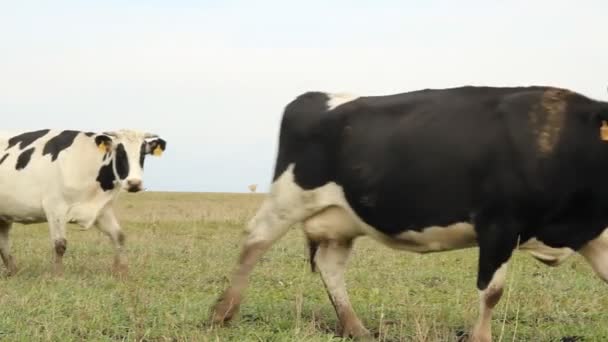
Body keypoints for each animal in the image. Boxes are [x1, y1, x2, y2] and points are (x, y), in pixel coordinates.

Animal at [0, 130, 165, 276]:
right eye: (119, 152)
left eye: (143, 154)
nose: (134, 183)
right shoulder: (55, 207)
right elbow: (59, 244)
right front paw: (58, 275)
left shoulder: (102, 210)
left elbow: (119, 237)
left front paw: (123, 272)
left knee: (4, 244)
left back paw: (13, 271)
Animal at [215, 87, 608, 340]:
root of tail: (313, 97)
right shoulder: (499, 224)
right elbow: (491, 292)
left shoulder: (596, 234)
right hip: (289, 196)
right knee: (255, 240)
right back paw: (223, 312)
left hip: (341, 219)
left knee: (330, 266)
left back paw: (356, 329)